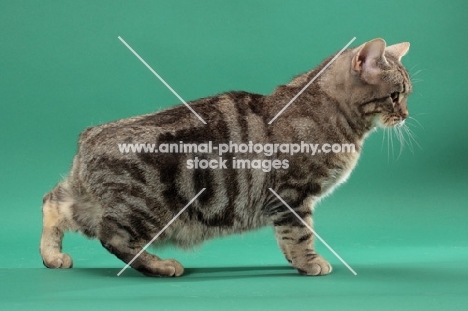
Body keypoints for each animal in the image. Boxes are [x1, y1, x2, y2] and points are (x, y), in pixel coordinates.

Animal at [41, 39, 414, 278]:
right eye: (396, 96)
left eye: (406, 95)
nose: (406, 115)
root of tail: (89, 136)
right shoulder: (293, 194)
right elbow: (300, 234)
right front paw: (309, 262)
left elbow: (289, 238)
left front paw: (297, 262)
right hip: (146, 210)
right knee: (112, 237)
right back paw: (160, 265)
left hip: (83, 199)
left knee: (51, 202)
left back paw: (52, 256)